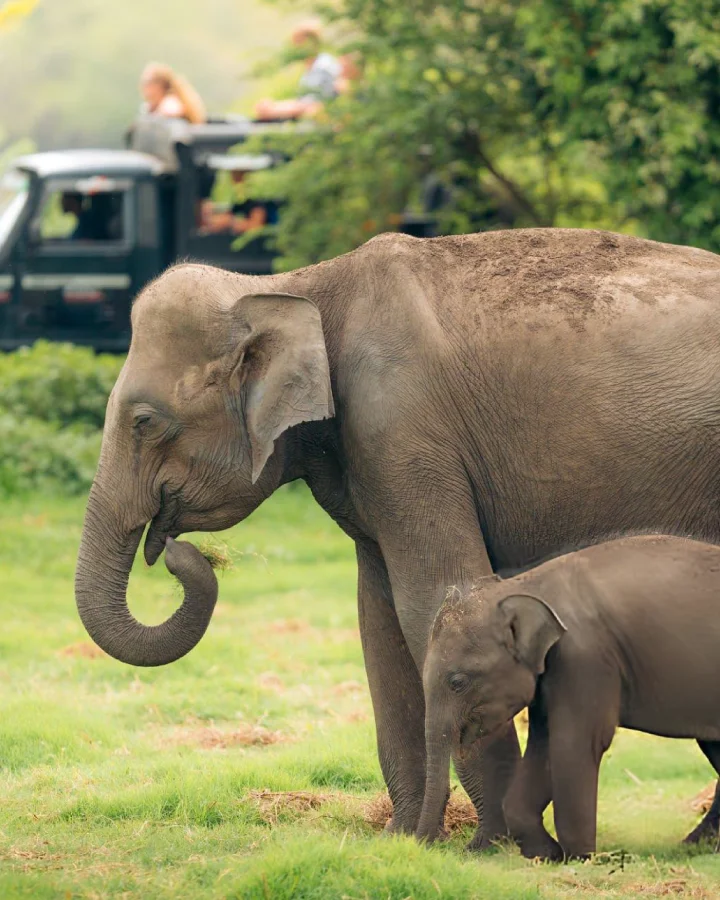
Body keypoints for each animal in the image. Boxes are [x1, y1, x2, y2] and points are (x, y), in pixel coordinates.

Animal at [416, 535, 720, 858]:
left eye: (457, 682)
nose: (428, 845)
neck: (523, 586)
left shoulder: (585, 658)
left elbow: (575, 743)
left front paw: (583, 858)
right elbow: (543, 743)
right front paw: (546, 854)